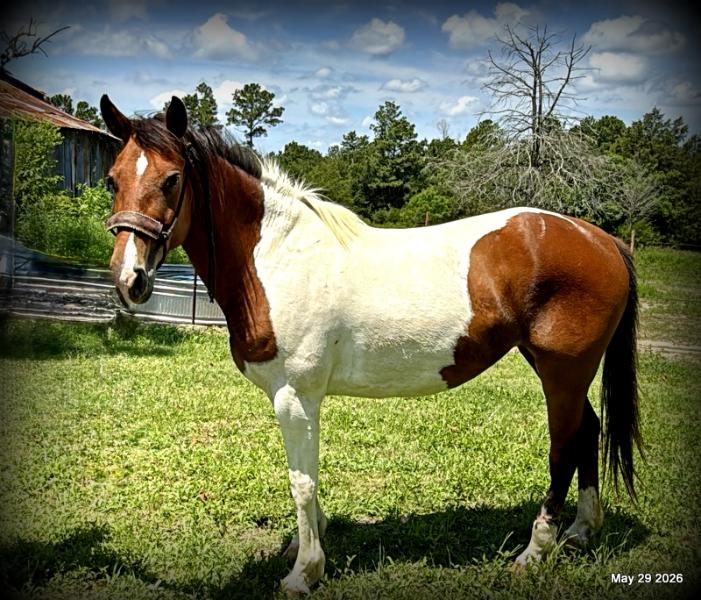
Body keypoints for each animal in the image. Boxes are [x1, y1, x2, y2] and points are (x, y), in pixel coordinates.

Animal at [100, 95, 642, 595]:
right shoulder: (299, 400)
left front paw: (305, 571)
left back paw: (536, 549)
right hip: (559, 369)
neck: (277, 256)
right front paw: (307, 542)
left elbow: (301, 481)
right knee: (588, 430)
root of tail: (601, 239)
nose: (130, 278)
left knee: (564, 445)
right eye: (112, 179)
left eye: (172, 180)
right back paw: (581, 532)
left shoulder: (295, 396)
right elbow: (306, 476)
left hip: (562, 370)